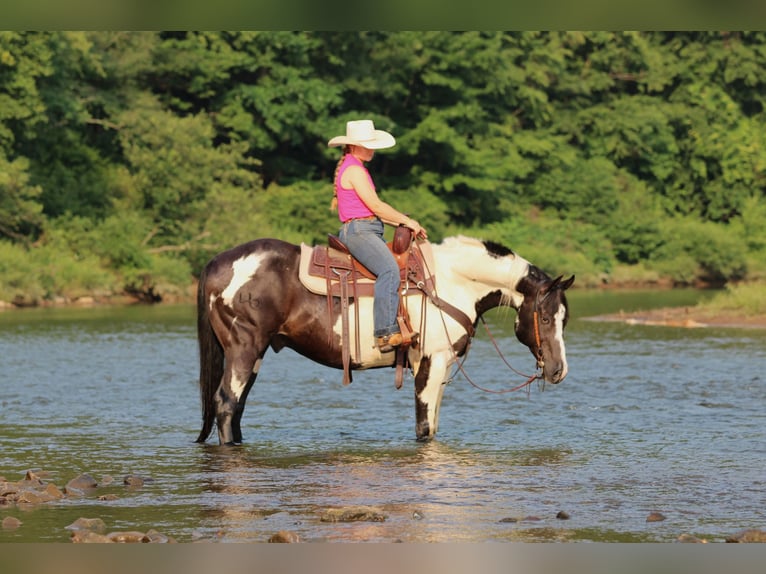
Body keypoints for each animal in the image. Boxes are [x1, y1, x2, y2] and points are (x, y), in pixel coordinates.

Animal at [196, 235, 574, 446]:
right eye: (543, 318)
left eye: (563, 318)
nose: (559, 371)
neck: (452, 282)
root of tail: (216, 262)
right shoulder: (431, 362)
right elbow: (425, 428)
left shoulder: (442, 368)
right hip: (244, 349)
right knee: (226, 403)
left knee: (237, 408)